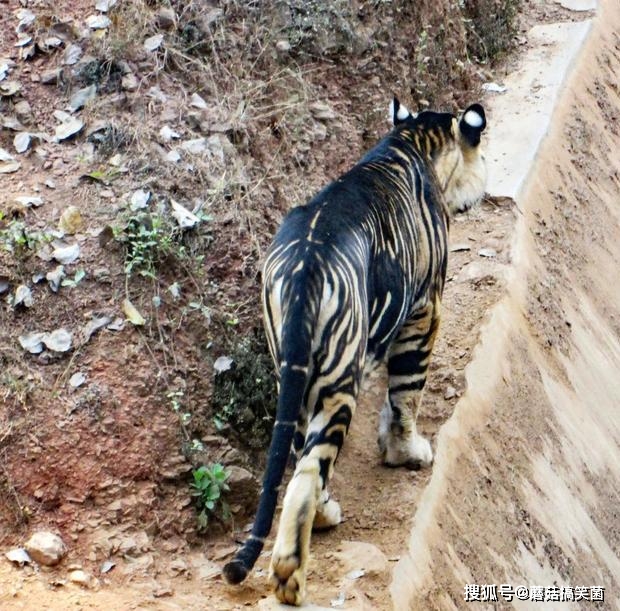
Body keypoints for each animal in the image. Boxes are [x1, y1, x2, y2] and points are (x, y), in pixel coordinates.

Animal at [224, 98, 490, 604]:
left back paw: (322, 518)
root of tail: (305, 264)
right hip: (336, 380)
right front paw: (407, 451)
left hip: (297, 375)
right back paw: (290, 576)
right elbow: (407, 392)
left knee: (303, 455)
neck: (411, 138)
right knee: (308, 471)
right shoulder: (425, 309)